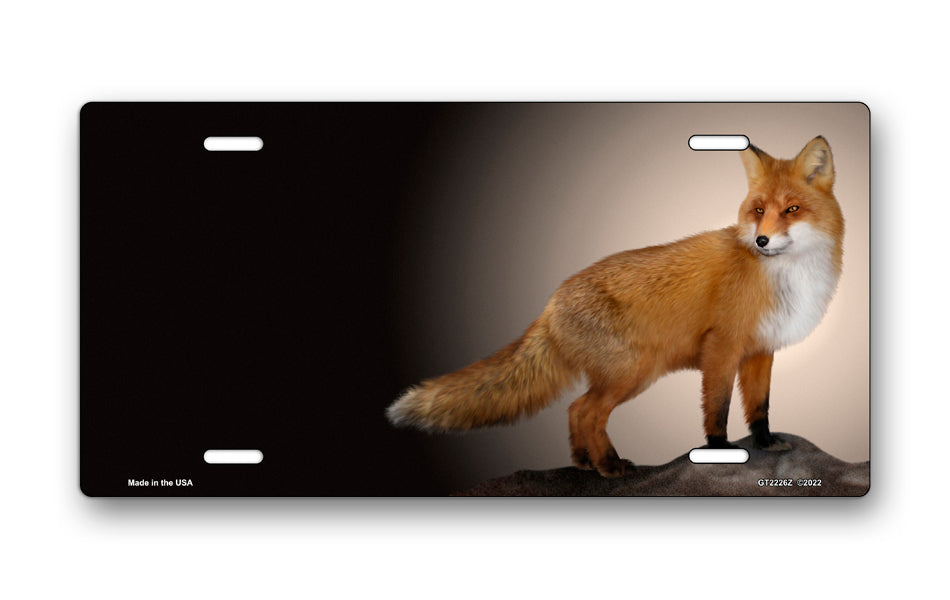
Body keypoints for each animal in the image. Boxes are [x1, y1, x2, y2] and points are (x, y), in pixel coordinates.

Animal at [387, 136, 844, 477]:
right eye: (759, 210)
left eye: (792, 210)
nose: (761, 241)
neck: (784, 276)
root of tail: (552, 300)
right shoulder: (722, 348)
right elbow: (717, 408)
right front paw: (719, 451)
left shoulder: (760, 350)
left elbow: (759, 407)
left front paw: (766, 443)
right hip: (632, 373)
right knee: (587, 412)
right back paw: (609, 465)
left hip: (628, 375)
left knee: (574, 410)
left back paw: (584, 463)